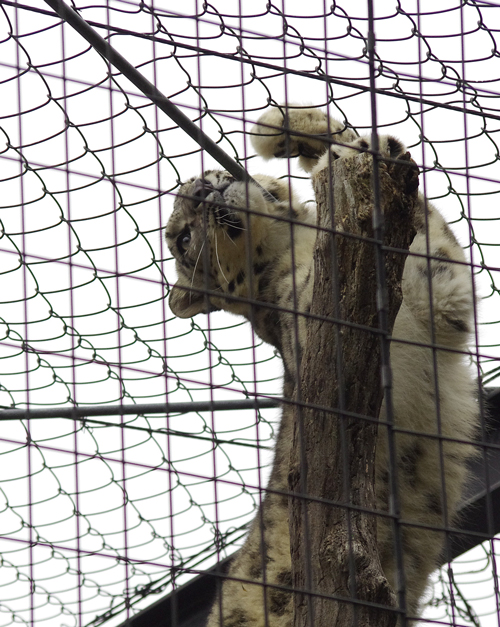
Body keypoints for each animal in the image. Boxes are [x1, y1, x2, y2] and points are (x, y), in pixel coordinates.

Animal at [166, 105, 478, 624]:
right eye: (183, 238)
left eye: (206, 177)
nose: (202, 191)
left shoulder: (436, 288)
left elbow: (430, 234)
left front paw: (297, 128)